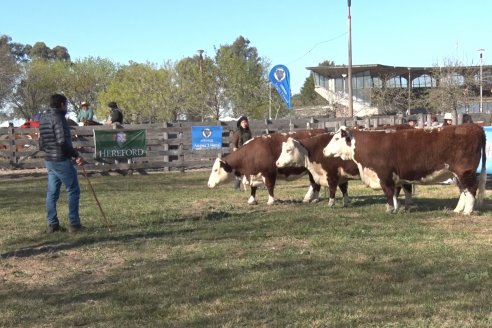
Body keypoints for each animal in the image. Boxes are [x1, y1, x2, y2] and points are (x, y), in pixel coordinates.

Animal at [274, 132, 414, 206]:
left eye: (288, 150)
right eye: (282, 149)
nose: (277, 163)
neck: (315, 150)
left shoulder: (331, 174)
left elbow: (332, 189)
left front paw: (331, 203)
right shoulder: (341, 175)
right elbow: (343, 188)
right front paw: (346, 202)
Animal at [322, 124, 488, 214]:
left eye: (336, 138)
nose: (324, 150)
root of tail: (474, 126)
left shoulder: (384, 175)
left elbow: (389, 193)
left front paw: (390, 209)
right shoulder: (393, 177)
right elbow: (395, 193)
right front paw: (396, 207)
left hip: (465, 172)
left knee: (470, 188)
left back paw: (467, 211)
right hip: (457, 174)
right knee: (463, 190)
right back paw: (458, 209)